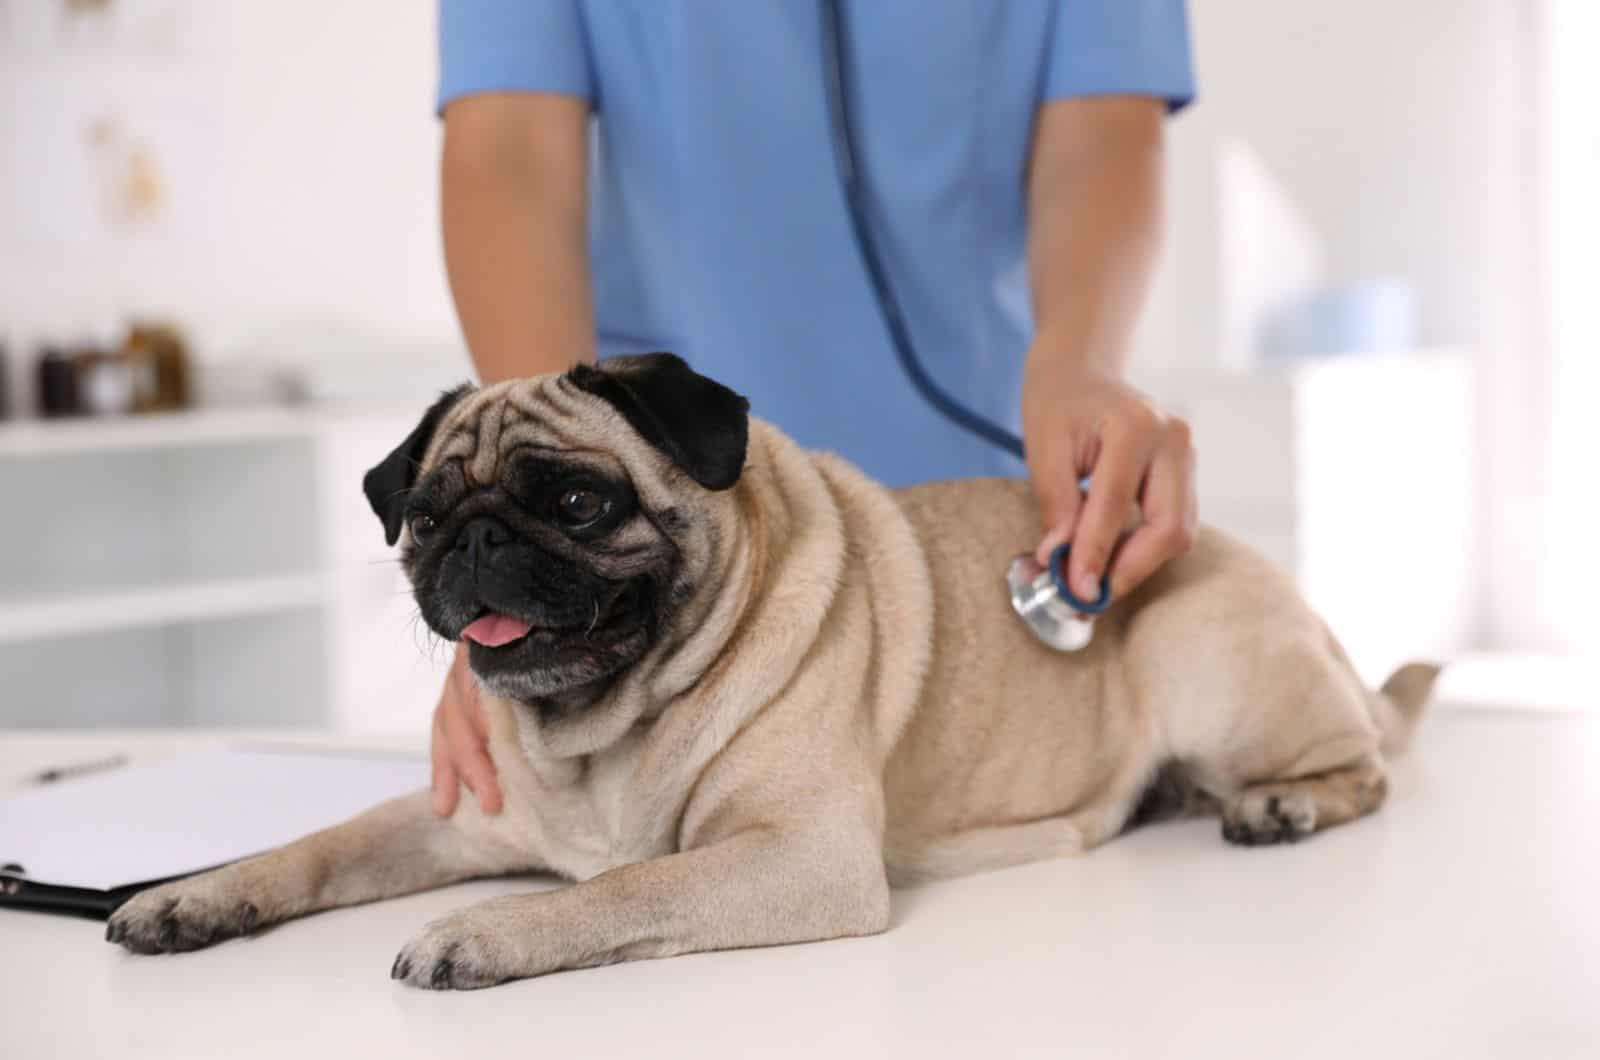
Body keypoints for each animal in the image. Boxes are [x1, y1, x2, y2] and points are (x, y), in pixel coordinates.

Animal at [109, 355, 1440, 986]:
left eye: (579, 503)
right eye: (425, 519)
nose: (477, 542)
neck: (597, 735)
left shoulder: (799, 855)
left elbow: (621, 888)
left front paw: (488, 930)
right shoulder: (451, 817)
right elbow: (316, 846)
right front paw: (195, 896)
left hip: (1201, 653)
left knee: (1369, 765)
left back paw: (1280, 803)